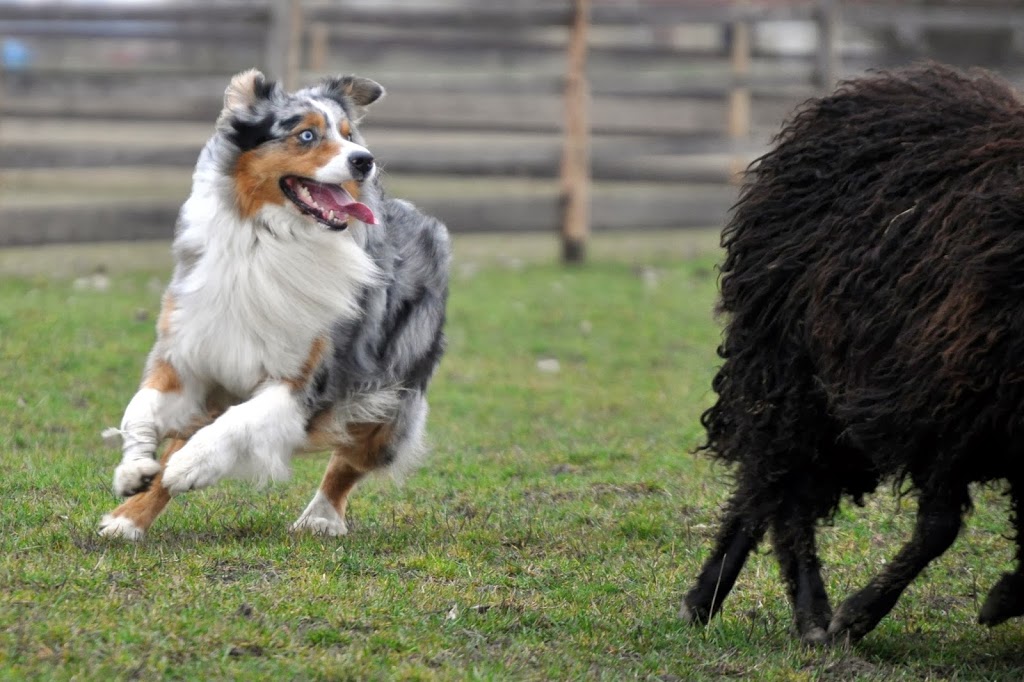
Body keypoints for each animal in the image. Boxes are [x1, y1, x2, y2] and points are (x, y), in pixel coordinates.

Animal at [98, 69, 450, 540]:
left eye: (348, 134)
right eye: (307, 135)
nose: (365, 160)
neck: (267, 238)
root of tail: (422, 218)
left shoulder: (300, 385)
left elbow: (236, 423)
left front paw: (193, 465)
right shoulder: (190, 357)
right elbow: (139, 409)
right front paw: (134, 468)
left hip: (388, 393)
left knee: (350, 461)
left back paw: (320, 515)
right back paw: (128, 519)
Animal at [681, 62, 1024, 644]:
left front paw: (1005, 595)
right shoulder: (955, 403)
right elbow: (939, 527)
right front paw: (858, 615)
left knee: (763, 483)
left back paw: (713, 601)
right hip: (795, 370)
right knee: (781, 484)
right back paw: (810, 616)